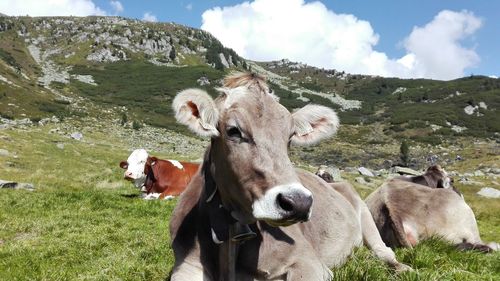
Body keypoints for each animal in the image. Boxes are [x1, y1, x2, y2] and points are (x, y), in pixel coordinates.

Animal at [168, 72, 410, 280]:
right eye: (233, 131)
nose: (299, 202)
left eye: (290, 137)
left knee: (384, 251)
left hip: (366, 214)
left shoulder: (309, 263)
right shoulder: (186, 265)